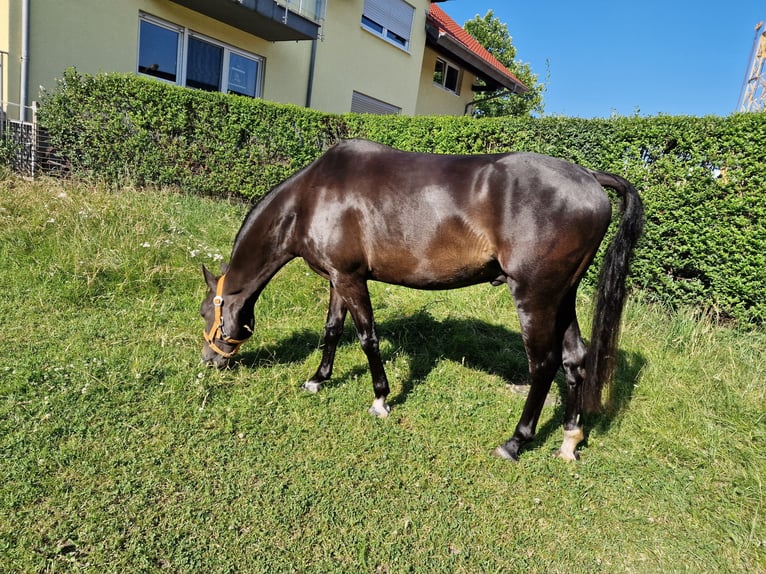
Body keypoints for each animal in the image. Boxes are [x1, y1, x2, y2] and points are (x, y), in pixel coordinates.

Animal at [200, 139, 644, 461]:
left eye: (207, 311)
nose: (209, 361)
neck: (310, 198)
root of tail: (588, 176)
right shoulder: (338, 279)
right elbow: (332, 330)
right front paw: (317, 379)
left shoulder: (351, 279)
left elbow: (367, 338)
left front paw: (380, 399)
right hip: (562, 297)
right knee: (574, 358)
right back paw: (569, 440)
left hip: (535, 297)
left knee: (544, 364)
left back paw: (515, 442)